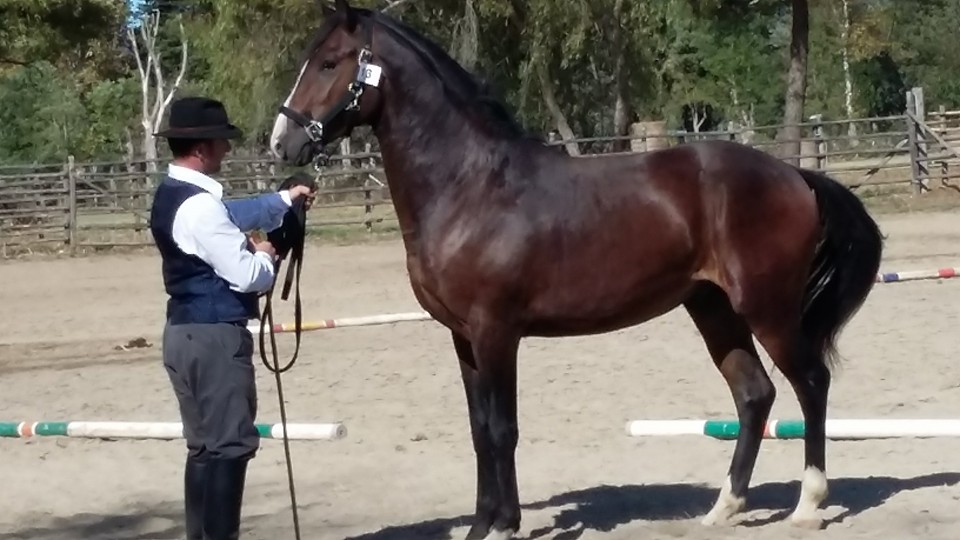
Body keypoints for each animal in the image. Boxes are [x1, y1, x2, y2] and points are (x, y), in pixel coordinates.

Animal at [269, 1, 884, 538]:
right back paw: (722, 509)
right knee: (754, 394)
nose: (283, 141)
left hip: (769, 310)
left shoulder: (496, 333)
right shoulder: (463, 338)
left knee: (811, 384)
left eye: (330, 63)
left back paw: (807, 506)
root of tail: (796, 176)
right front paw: (481, 524)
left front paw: (505, 526)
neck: (469, 186)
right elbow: (479, 431)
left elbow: (503, 429)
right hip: (713, 308)